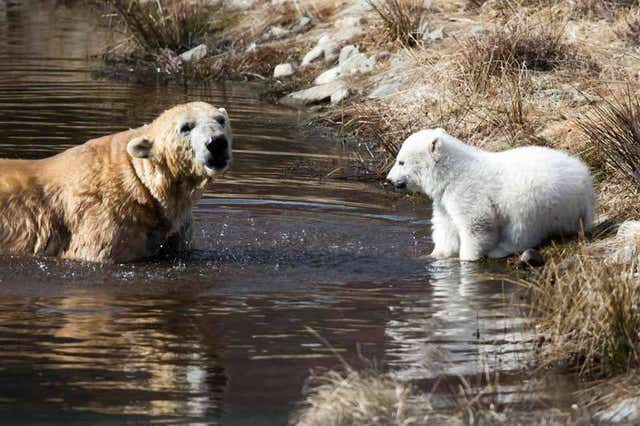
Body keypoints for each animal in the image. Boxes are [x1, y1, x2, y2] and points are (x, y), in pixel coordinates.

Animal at [384, 128, 596, 262]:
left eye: (401, 162)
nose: (389, 179)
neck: (451, 173)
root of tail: (585, 185)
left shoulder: (467, 191)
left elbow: (476, 224)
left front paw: (467, 257)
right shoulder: (444, 199)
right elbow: (445, 226)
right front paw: (434, 255)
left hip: (538, 197)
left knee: (522, 228)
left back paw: (500, 250)